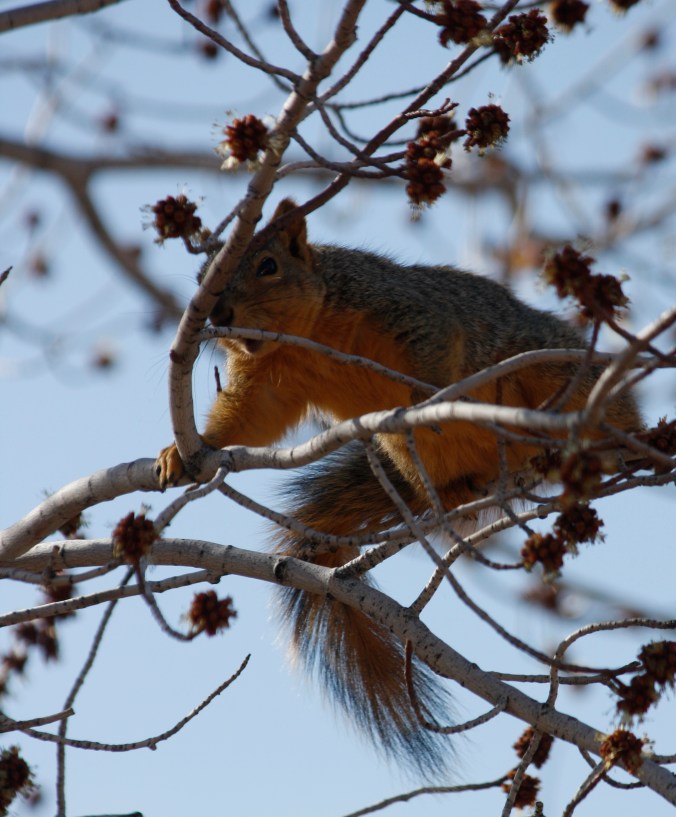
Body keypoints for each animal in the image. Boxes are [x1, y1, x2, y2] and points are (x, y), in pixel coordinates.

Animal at [156, 198, 642, 774]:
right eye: (203, 280)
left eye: (268, 266)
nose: (219, 315)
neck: (308, 336)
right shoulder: (267, 381)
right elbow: (250, 421)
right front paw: (184, 451)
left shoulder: (403, 308)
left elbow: (434, 346)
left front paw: (427, 395)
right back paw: (445, 499)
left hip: (557, 372)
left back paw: (629, 439)